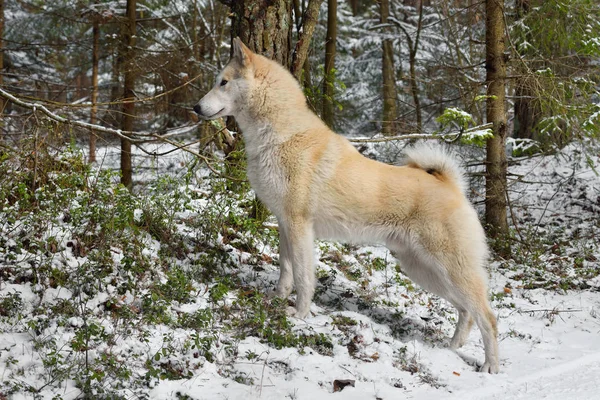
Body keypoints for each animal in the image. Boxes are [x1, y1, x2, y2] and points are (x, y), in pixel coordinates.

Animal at [195, 39, 500, 374]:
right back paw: (452, 348)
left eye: (223, 82)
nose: (195, 107)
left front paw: (300, 315)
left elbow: (303, 277)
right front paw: (277, 298)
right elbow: (286, 269)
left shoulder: (300, 227)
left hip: (449, 269)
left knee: (487, 317)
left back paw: (490, 367)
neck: (281, 135)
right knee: (466, 312)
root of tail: (451, 185)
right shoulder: (285, 225)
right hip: (426, 271)